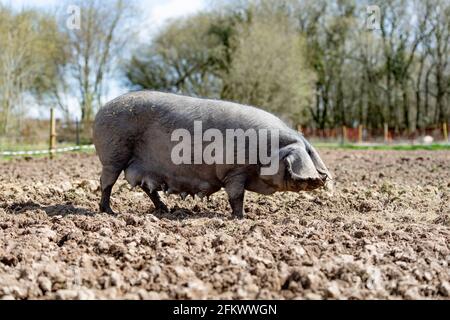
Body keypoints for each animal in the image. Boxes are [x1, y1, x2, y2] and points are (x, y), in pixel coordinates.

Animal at [93, 91, 330, 219]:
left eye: (310, 152)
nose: (321, 179)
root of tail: (101, 110)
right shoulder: (235, 171)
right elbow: (236, 196)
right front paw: (241, 218)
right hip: (113, 155)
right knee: (106, 182)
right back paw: (110, 212)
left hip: (140, 165)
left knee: (147, 187)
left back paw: (165, 209)